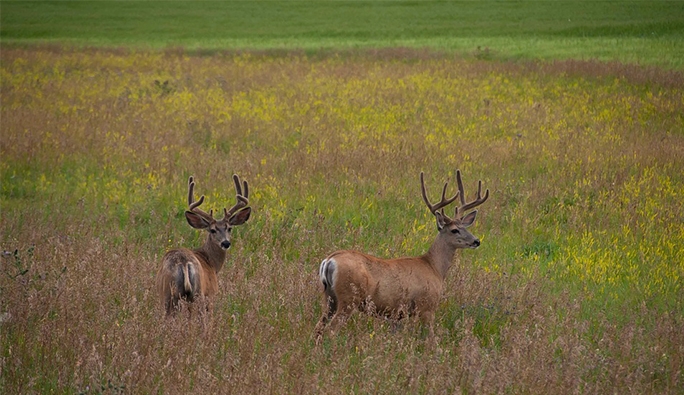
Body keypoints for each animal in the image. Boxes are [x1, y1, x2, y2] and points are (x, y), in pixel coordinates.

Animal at [155, 175, 251, 318]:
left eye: (229, 228)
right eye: (212, 230)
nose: (226, 243)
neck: (211, 263)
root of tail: (184, 262)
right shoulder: (211, 293)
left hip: (168, 295)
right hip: (199, 294)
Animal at [316, 169, 486, 340]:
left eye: (465, 227)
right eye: (454, 230)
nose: (476, 241)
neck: (434, 268)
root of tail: (329, 260)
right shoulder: (427, 306)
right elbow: (430, 338)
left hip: (330, 298)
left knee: (319, 327)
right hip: (349, 297)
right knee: (331, 330)